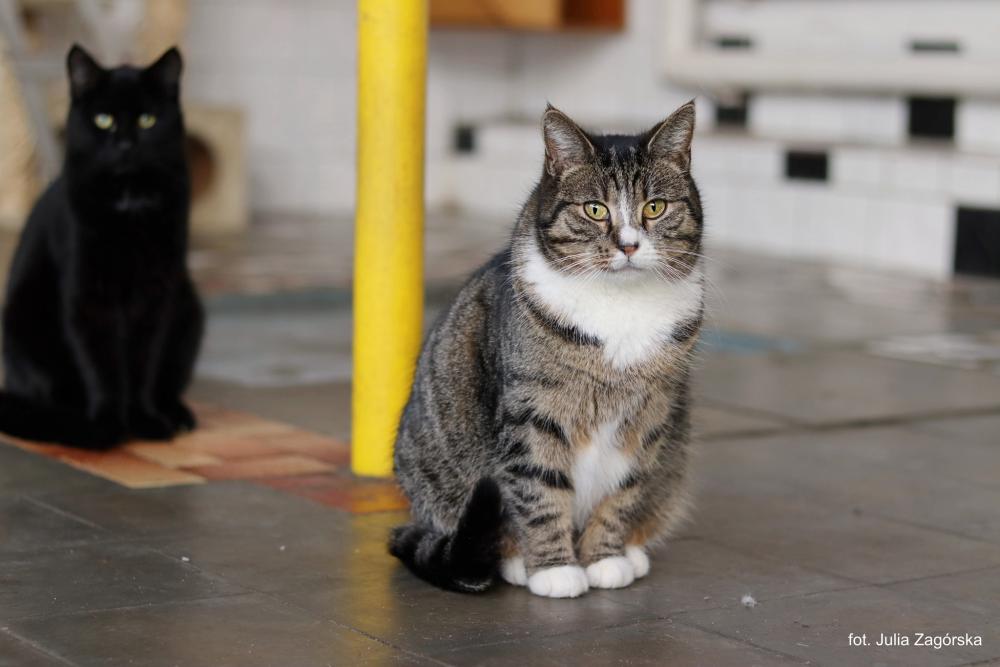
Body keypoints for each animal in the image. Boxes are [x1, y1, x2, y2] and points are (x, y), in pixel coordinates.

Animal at [0, 44, 203, 449]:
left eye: (147, 120)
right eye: (103, 120)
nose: (125, 145)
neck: (128, 202)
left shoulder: (156, 295)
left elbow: (143, 365)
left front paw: (145, 421)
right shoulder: (88, 296)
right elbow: (102, 365)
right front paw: (106, 425)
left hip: (190, 309)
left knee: (168, 382)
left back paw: (177, 416)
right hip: (22, 326)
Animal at [390, 101, 704, 598]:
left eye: (654, 207)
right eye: (595, 209)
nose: (629, 244)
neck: (620, 304)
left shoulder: (648, 417)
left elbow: (623, 491)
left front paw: (605, 558)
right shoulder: (532, 413)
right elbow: (539, 490)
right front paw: (554, 569)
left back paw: (633, 551)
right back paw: (516, 560)